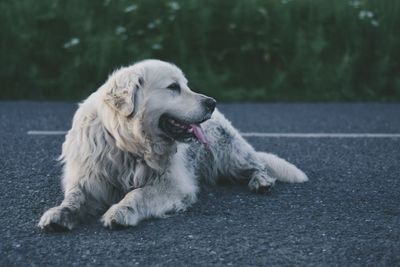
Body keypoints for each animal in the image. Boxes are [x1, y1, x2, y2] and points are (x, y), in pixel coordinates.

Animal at [37, 59, 308, 231]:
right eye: (173, 87)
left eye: (185, 85)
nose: (212, 102)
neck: (128, 144)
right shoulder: (89, 179)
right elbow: (74, 197)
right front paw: (60, 213)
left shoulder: (173, 183)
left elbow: (138, 193)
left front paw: (120, 211)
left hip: (227, 152)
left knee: (257, 164)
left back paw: (261, 181)